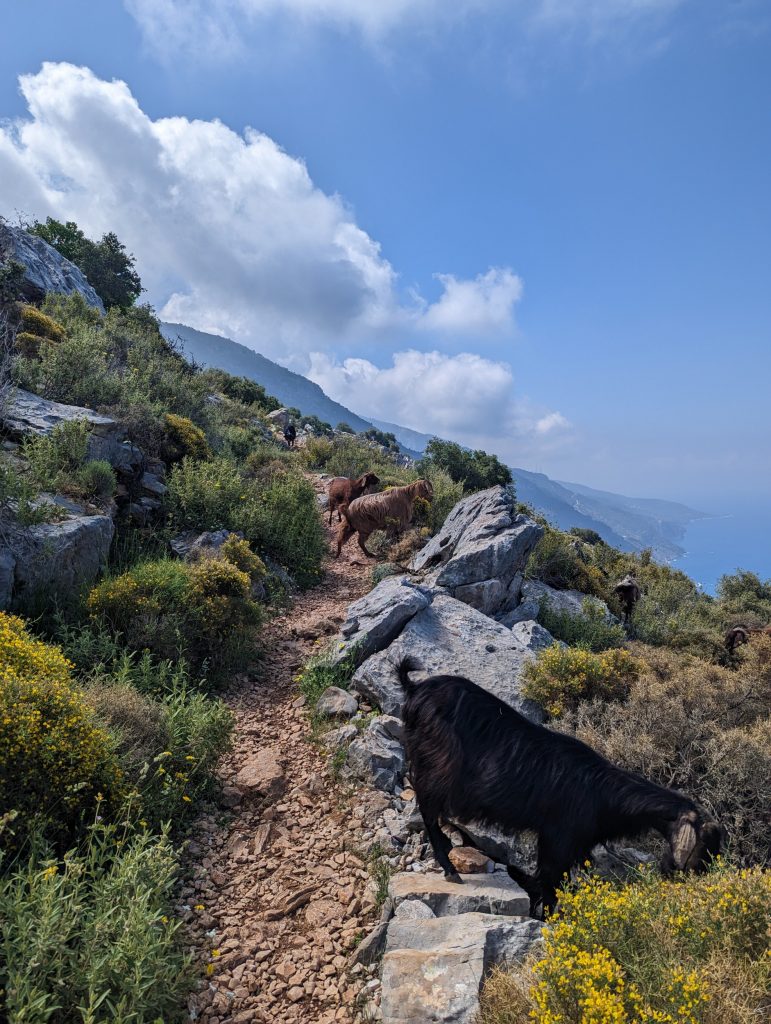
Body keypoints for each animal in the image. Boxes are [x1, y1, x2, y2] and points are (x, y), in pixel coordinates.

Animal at [397, 659, 720, 917]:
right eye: (704, 843)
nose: (704, 879)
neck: (601, 794)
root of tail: (414, 689)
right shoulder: (557, 839)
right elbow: (551, 883)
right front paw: (550, 920)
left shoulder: (574, 844)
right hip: (436, 767)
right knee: (428, 810)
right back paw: (450, 869)